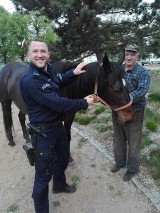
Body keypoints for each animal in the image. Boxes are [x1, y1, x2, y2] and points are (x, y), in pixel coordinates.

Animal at [0, 55, 134, 155]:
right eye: (116, 89)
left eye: (127, 84)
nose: (130, 118)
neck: (64, 89)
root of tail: (6, 67)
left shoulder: (69, 118)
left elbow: (67, 138)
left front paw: (68, 157)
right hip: (6, 102)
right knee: (7, 118)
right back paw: (11, 140)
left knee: (21, 117)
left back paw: (27, 137)